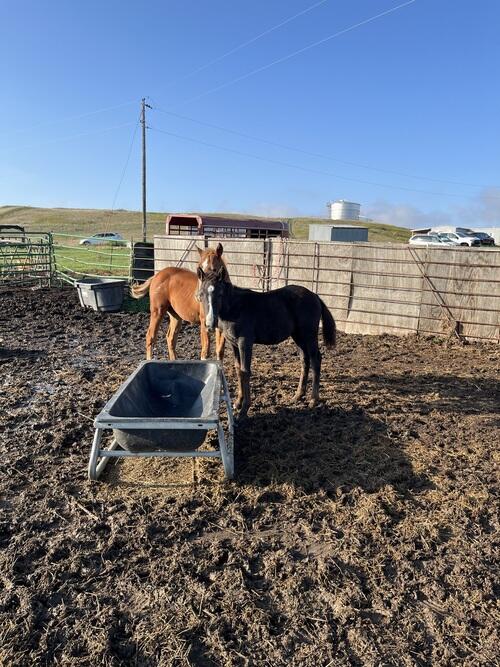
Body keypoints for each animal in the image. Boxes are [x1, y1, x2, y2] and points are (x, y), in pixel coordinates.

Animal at [197, 265, 336, 420]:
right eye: (201, 294)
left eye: (220, 294)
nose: (210, 324)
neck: (235, 308)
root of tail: (315, 296)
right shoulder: (233, 344)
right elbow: (238, 369)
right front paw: (238, 402)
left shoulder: (245, 342)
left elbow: (245, 371)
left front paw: (244, 410)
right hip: (298, 336)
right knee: (304, 360)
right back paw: (298, 395)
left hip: (309, 335)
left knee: (315, 359)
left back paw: (313, 399)